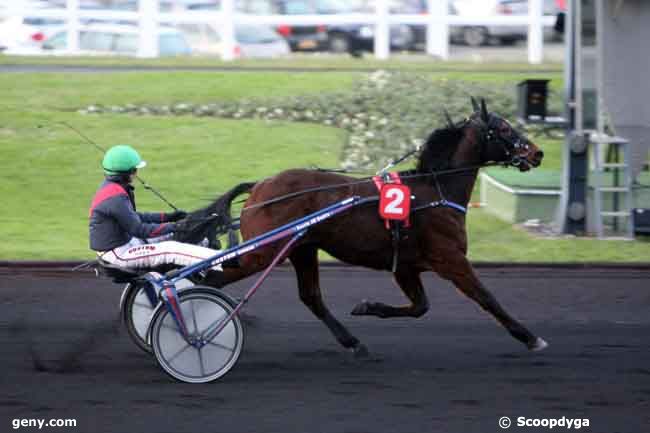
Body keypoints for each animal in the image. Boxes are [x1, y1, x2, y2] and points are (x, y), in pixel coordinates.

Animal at [182, 98, 548, 354]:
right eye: (504, 129)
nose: (538, 153)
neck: (435, 191)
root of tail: (260, 186)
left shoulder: (406, 265)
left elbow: (421, 307)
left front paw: (368, 307)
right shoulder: (450, 259)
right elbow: (487, 298)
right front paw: (530, 337)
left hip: (301, 249)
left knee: (310, 297)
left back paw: (352, 342)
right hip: (264, 251)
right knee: (213, 277)